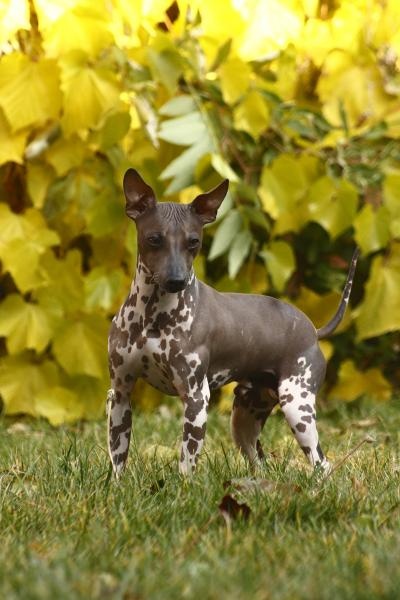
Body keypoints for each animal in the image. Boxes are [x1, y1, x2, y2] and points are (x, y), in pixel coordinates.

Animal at [107, 170, 360, 478]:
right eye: (154, 239)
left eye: (194, 242)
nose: (177, 280)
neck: (152, 317)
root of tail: (313, 330)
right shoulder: (120, 394)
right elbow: (118, 460)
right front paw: (117, 486)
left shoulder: (196, 399)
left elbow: (186, 464)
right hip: (244, 420)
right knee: (260, 460)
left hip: (297, 407)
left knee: (323, 464)